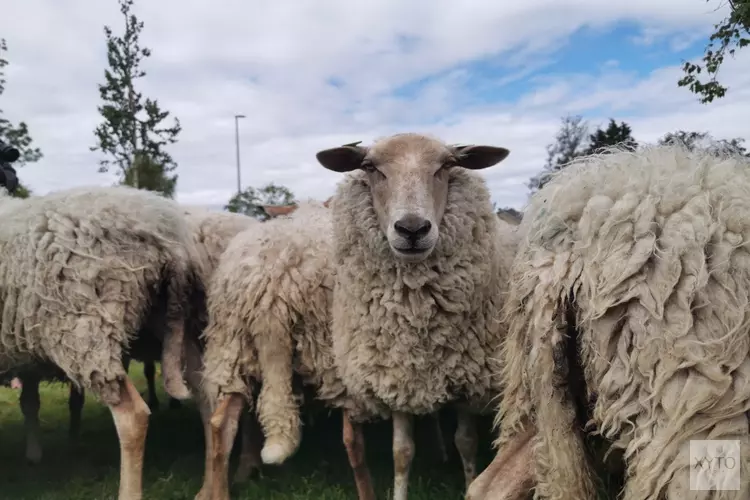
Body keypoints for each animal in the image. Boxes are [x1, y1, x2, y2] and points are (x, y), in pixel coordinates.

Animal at [0, 185, 206, 500]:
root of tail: (166, 235)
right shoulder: (26, 352)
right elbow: (29, 403)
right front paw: (34, 455)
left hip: (87, 331)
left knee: (133, 416)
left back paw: (129, 492)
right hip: (173, 323)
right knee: (210, 393)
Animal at [314, 133, 520, 500]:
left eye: (447, 165)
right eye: (370, 167)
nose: (412, 229)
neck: (416, 314)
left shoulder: (469, 381)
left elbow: (466, 443)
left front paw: (468, 482)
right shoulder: (396, 377)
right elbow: (402, 452)